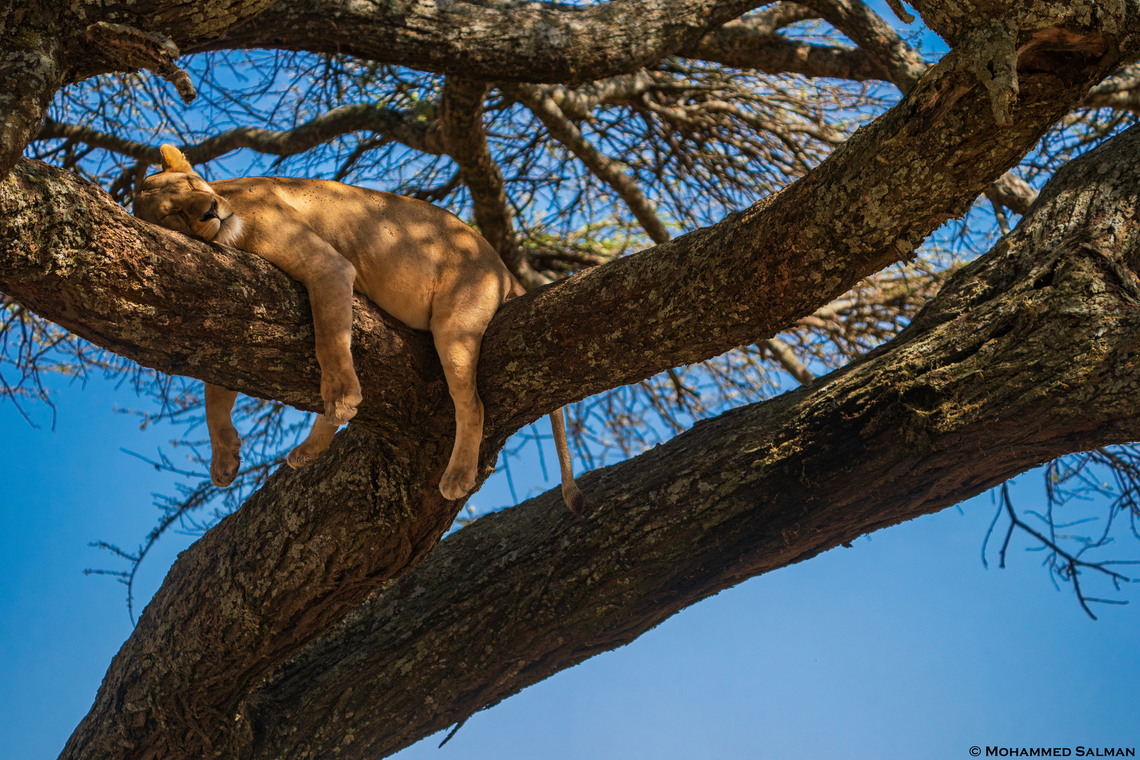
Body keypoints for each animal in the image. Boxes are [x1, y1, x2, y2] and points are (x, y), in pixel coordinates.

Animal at [134, 145, 584, 515]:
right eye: (174, 213)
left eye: (192, 183)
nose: (211, 210)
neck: (232, 207)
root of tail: (502, 267)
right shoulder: (230, 305)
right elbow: (215, 390)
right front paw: (224, 459)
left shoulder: (328, 266)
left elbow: (329, 342)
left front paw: (340, 396)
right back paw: (309, 452)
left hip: (455, 326)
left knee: (472, 404)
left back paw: (456, 475)